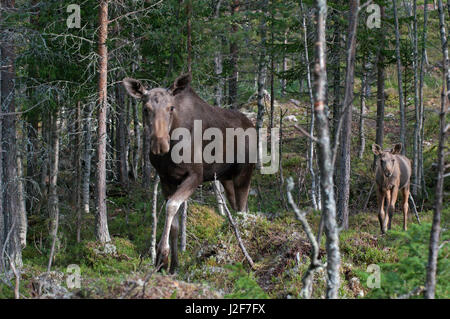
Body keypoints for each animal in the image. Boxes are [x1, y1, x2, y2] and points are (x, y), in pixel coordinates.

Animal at [123, 74, 255, 274]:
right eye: (145, 109)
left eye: (171, 108)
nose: (159, 144)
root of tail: (253, 125)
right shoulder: (167, 179)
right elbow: (175, 225)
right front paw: (172, 265)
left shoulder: (195, 176)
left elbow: (171, 206)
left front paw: (162, 255)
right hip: (227, 180)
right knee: (240, 208)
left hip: (244, 174)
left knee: (242, 209)